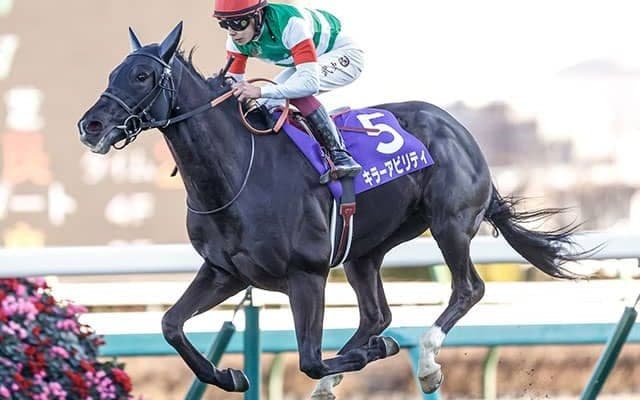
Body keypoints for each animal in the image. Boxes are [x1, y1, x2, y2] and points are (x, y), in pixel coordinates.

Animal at [77, 22, 585, 397]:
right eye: (111, 73)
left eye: (142, 77)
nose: (91, 125)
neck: (239, 175)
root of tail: (458, 129)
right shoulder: (226, 272)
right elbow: (170, 325)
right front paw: (230, 375)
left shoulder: (306, 274)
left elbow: (308, 359)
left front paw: (370, 356)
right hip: (364, 250)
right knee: (376, 315)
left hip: (450, 224)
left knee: (467, 289)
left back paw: (424, 363)